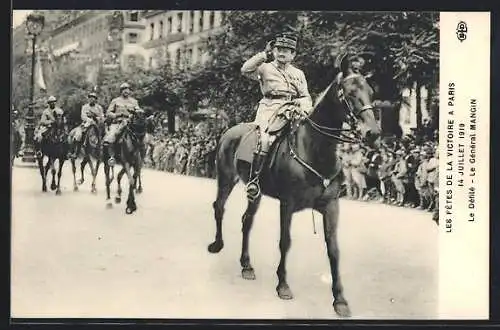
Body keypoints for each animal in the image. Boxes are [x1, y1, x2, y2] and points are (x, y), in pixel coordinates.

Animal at [209, 54, 380, 318]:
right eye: (350, 92)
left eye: (370, 91)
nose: (373, 132)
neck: (314, 148)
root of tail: (230, 131)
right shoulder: (287, 205)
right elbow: (285, 242)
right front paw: (282, 285)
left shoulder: (331, 206)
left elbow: (333, 250)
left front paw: (340, 300)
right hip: (226, 178)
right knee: (219, 207)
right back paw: (217, 245)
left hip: (255, 192)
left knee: (247, 221)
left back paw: (247, 265)